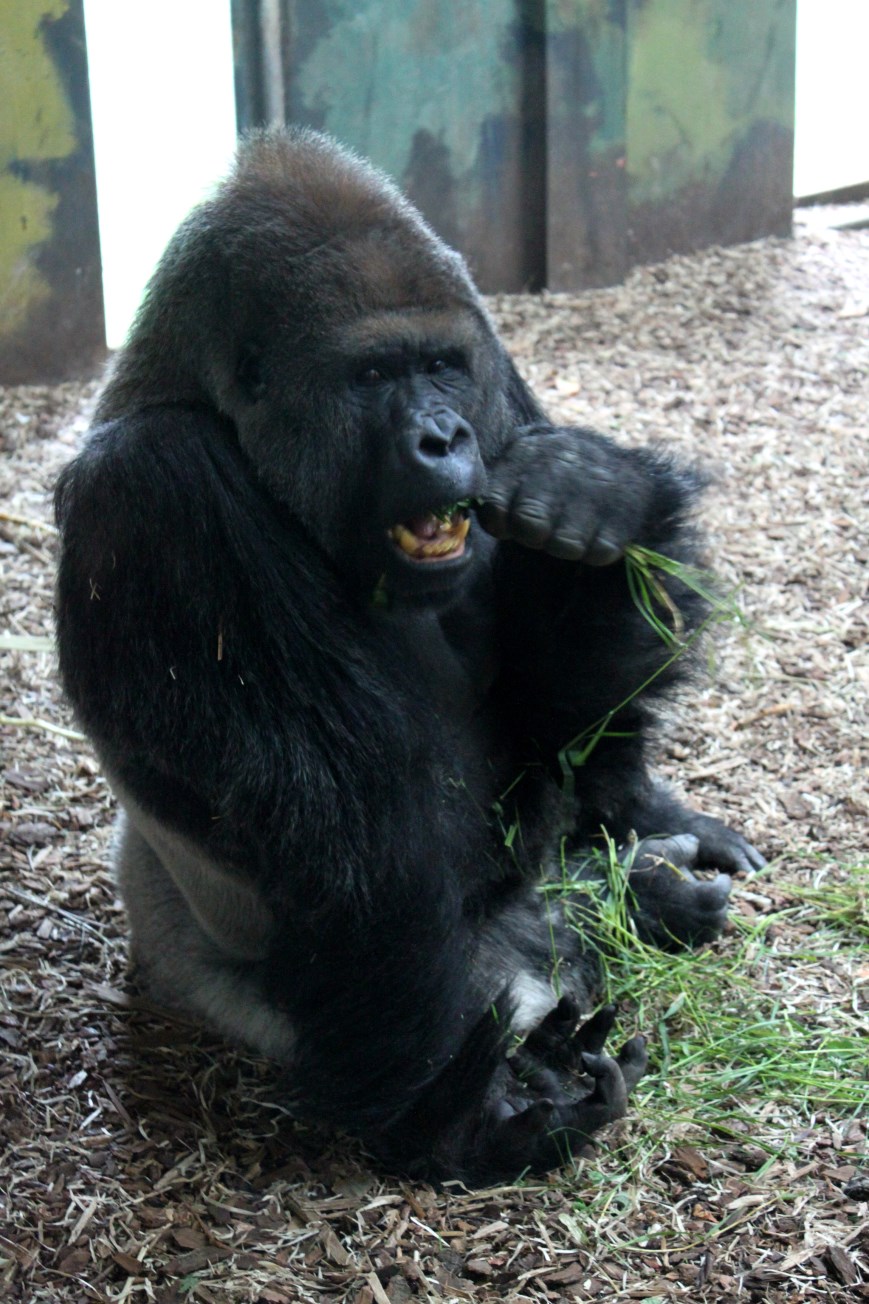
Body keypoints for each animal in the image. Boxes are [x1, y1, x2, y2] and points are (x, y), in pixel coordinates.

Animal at [54, 128, 764, 1183]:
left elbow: (554, 706)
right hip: (230, 986)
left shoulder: (496, 380)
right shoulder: (159, 488)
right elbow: (358, 858)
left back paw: (646, 856)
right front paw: (472, 1122)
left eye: (439, 365)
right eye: (373, 377)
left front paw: (595, 491)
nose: (442, 436)